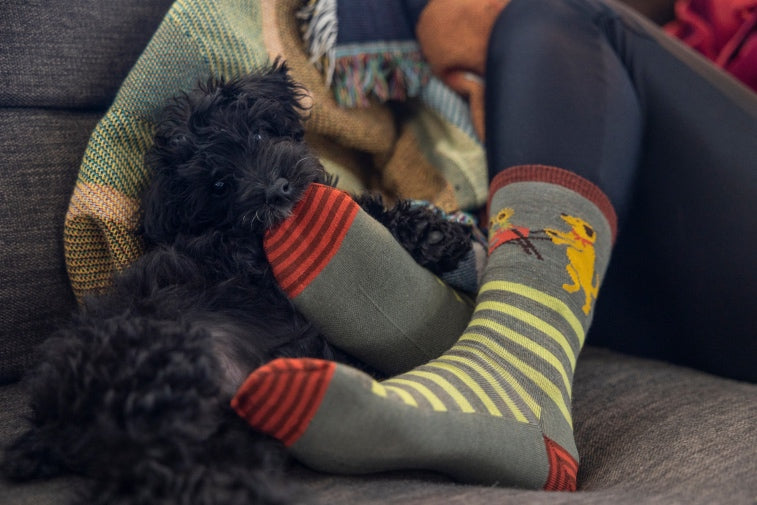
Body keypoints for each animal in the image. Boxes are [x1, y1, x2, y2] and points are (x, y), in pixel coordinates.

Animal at [4, 61, 472, 502]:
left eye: (260, 136)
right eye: (219, 184)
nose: (276, 190)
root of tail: (55, 427)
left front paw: (437, 234)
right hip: (166, 371)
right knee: (163, 477)